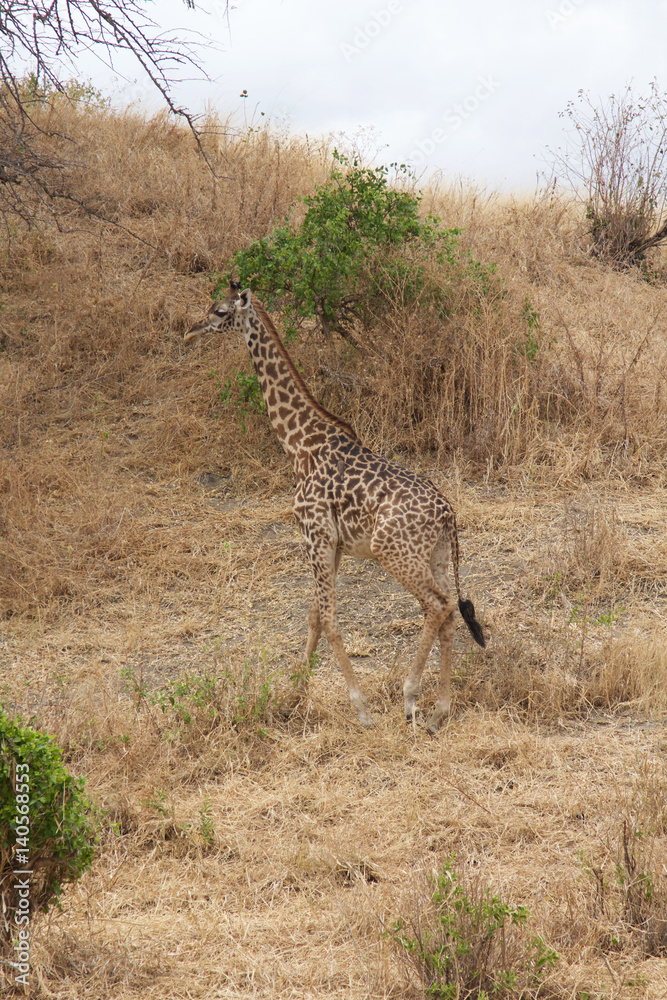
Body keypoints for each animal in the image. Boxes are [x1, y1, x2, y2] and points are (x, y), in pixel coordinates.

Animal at [185, 282, 485, 732]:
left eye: (220, 311)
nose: (192, 330)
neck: (300, 444)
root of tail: (449, 514)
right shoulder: (334, 542)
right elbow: (313, 615)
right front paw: (294, 692)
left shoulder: (315, 533)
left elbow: (328, 618)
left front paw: (360, 708)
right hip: (433, 555)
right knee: (449, 610)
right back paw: (438, 712)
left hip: (392, 551)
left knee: (438, 605)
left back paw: (411, 698)